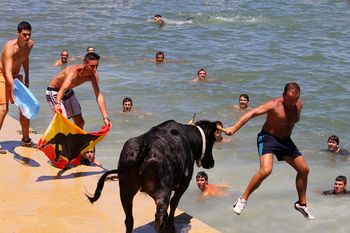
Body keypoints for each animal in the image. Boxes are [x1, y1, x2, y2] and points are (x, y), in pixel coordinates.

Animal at [86, 120, 217, 233]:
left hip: (125, 191)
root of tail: (144, 147)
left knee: (129, 220)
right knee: (159, 218)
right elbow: (174, 203)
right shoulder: (184, 183)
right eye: (212, 141)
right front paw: (171, 226)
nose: (212, 163)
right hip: (162, 194)